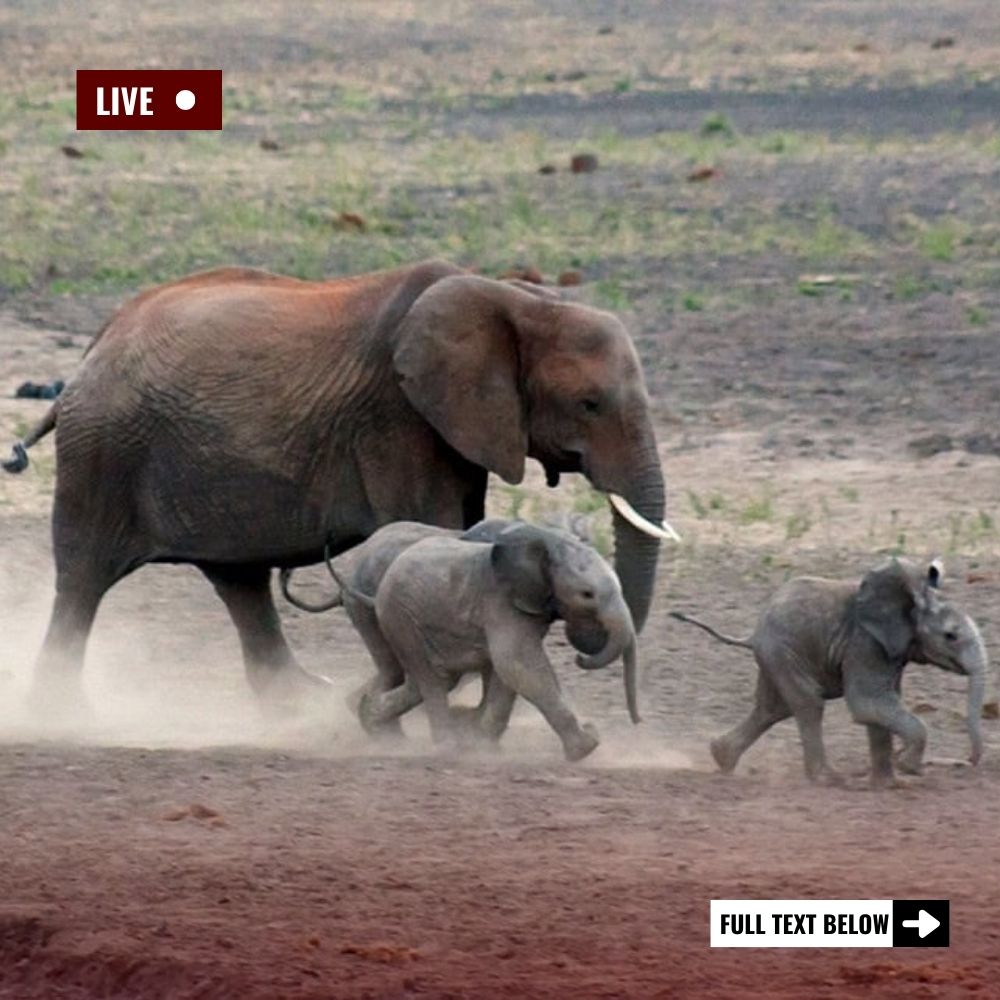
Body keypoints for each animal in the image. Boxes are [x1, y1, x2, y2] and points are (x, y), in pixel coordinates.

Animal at [5, 262, 672, 708]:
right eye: (589, 403)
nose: (583, 643)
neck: (519, 298)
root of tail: (94, 346)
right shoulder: (397, 419)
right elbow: (434, 529)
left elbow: (465, 527)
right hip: (103, 452)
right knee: (84, 577)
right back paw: (63, 714)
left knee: (239, 582)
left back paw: (300, 705)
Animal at [340, 524, 636, 756]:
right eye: (587, 594)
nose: (580, 656)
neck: (548, 542)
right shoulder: (500, 603)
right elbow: (520, 664)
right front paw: (587, 746)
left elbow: (507, 674)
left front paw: (484, 745)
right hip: (398, 616)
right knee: (432, 679)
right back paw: (445, 747)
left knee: (434, 680)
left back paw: (371, 718)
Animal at [676, 560, 988, 784]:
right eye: (950, 636)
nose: (966, 762)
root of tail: (753, 633)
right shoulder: (865, 642)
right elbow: (868, 703)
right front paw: (909, 768)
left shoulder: (889, 650)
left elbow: (880, 708)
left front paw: (890, 784)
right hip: (782, 649)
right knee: (808, 703)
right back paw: (828, 779)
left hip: (777, 655)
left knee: (773, 709)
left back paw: (721, 758)